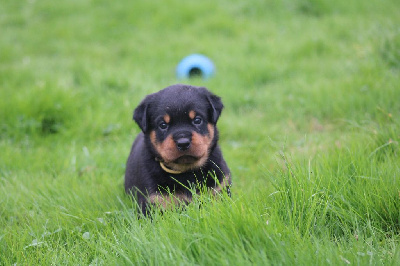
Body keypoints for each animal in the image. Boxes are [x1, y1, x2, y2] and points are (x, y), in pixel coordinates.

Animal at [125, 83, 231, 214]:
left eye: (197, 120)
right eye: (163, 125)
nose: (183, 143)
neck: (187, 171)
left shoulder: (220, 189)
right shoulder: (153, 201)